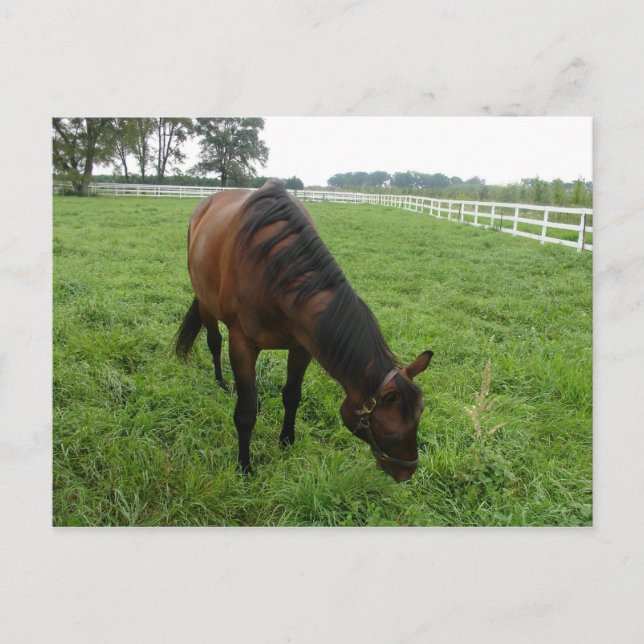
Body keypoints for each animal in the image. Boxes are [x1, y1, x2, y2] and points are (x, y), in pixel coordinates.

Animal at [175, 179, 432, 482]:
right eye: (390, 424)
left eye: (419, 415)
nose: (407, 471)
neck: (274, 273)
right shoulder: (242, 345)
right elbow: (247, 411)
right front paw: (244, 467)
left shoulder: (302, 346)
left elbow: (292, 396)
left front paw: (287, 440)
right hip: (206, 304)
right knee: (214, 342)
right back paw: (220, 382)